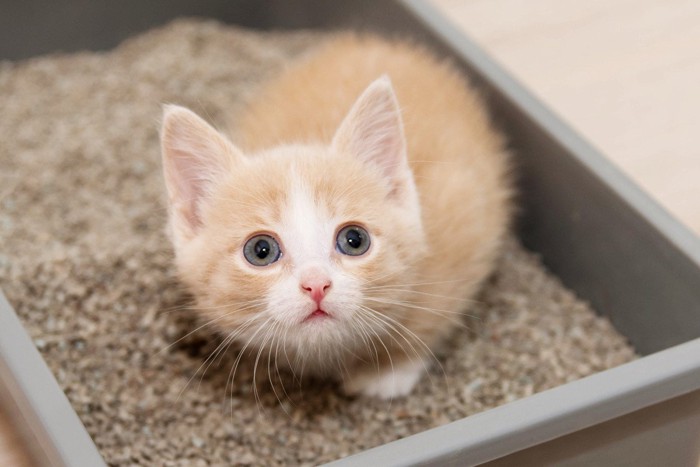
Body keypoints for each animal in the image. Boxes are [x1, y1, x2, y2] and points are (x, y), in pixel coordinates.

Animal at [159, 33, 512, 398]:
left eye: (354, 240)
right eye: (260, 250)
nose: (316, 285)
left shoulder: (463, 219)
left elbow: (433, 314)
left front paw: (388, 370)